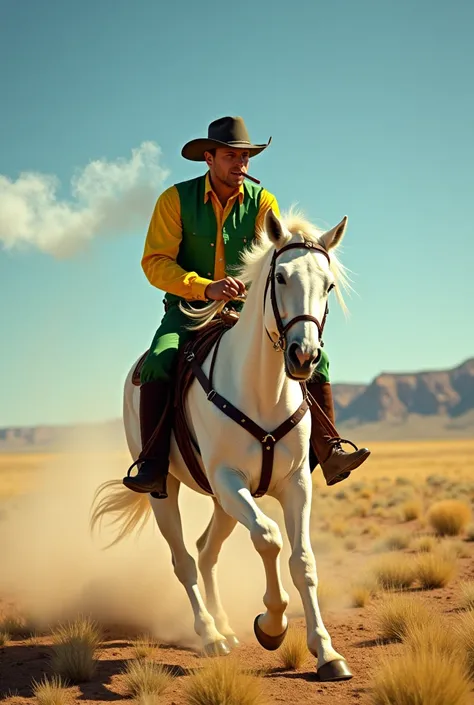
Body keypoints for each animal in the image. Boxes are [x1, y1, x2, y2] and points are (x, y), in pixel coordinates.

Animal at [91, 209, 352, 680]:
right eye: (281, 277)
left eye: (328, 285)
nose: (304, 356)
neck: (262, 391)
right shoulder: (231, 482)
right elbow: (268, 538)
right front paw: (271, 624)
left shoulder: (295, 484)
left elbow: (302, 561)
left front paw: (326, 652)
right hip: (167, 490)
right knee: (184, 559)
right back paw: (211, 635)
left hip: (221, 502)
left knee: (205, 551)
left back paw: (226, 627)